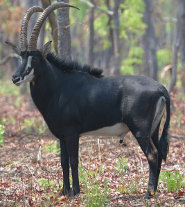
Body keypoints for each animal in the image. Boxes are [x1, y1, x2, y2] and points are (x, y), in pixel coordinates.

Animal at [6, 2, 170, 199]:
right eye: (21, 57)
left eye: (36, 58)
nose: (15, 77)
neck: (59, 86)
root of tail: (160, 88)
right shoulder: (62, 135)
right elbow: (63, 161)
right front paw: (64, 191)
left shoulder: (72, 132)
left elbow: (74, 161)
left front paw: (75, 192)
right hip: (154, 128)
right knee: (159, 153)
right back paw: (155, 191)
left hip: (140, 129)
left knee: (152, 154)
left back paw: (148, 193)